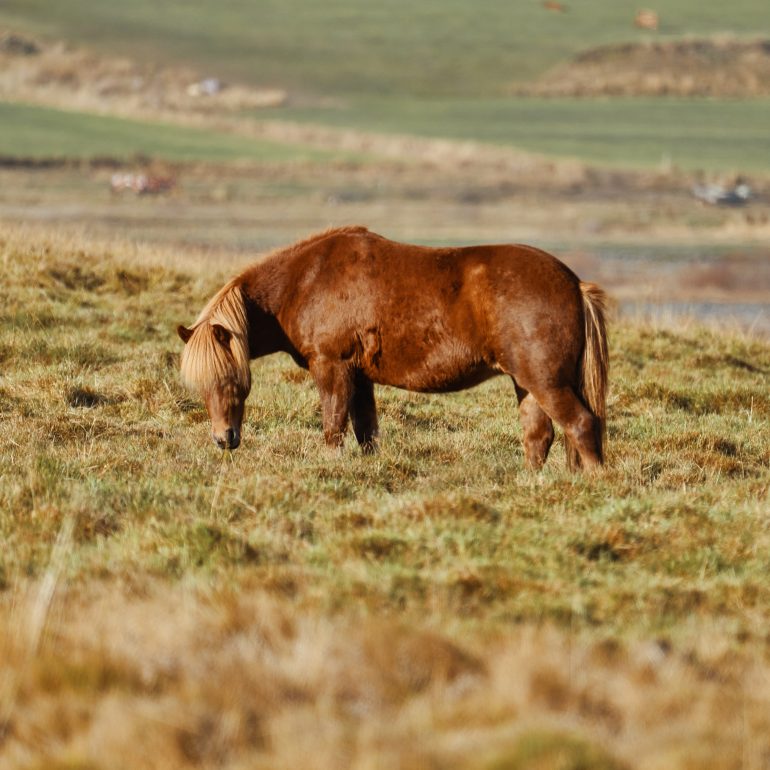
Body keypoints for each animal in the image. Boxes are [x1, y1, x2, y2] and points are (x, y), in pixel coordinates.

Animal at [178, 226, 609, 471]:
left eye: (232, 379)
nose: (224, 439)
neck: (305, 280)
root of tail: (574, 284)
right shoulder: (360, 376)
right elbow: (365, 430)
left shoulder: (332, 367)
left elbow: (333, 426)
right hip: (527, 382)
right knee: (540, 436)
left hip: (546, 382)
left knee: (581, 426)